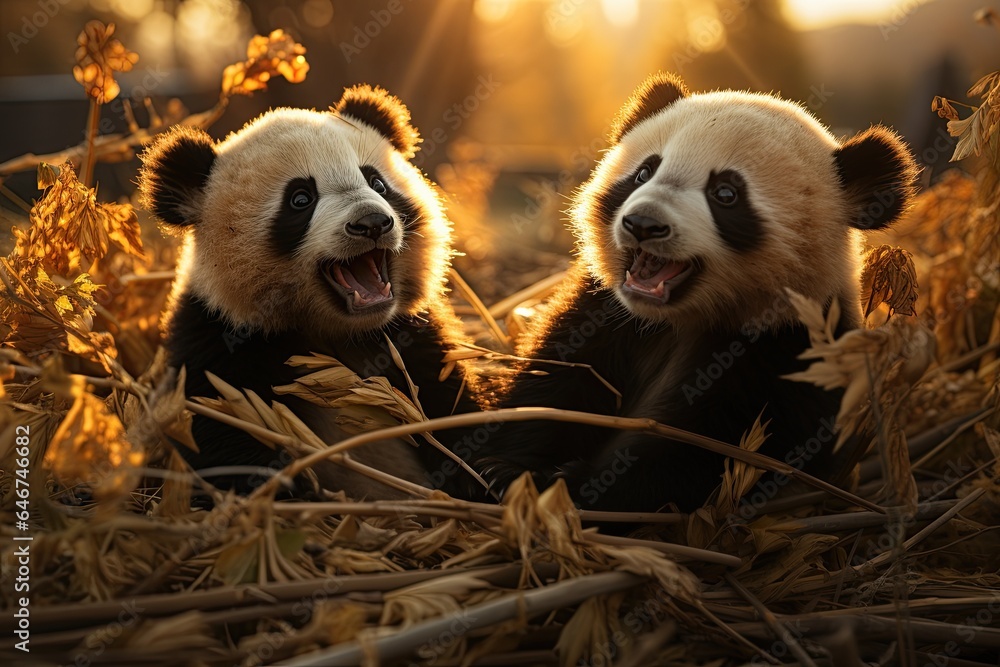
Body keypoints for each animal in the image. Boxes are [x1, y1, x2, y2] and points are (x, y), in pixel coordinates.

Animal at [139, 85, 479, 500]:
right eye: (300, 199)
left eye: (377, 183)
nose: (372, 223)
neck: (336, 330)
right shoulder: (218, 338)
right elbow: (227, 435)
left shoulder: (409, 332)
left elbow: (449, 401)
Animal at [475, 73, 918, 513]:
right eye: (644, 172)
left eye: (726, 194)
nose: (643, 224)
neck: (676, 319)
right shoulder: (602, 313)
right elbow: (557, 384)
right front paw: (506, 470)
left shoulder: (788, 351)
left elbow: (703, 452)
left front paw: (571, 486)